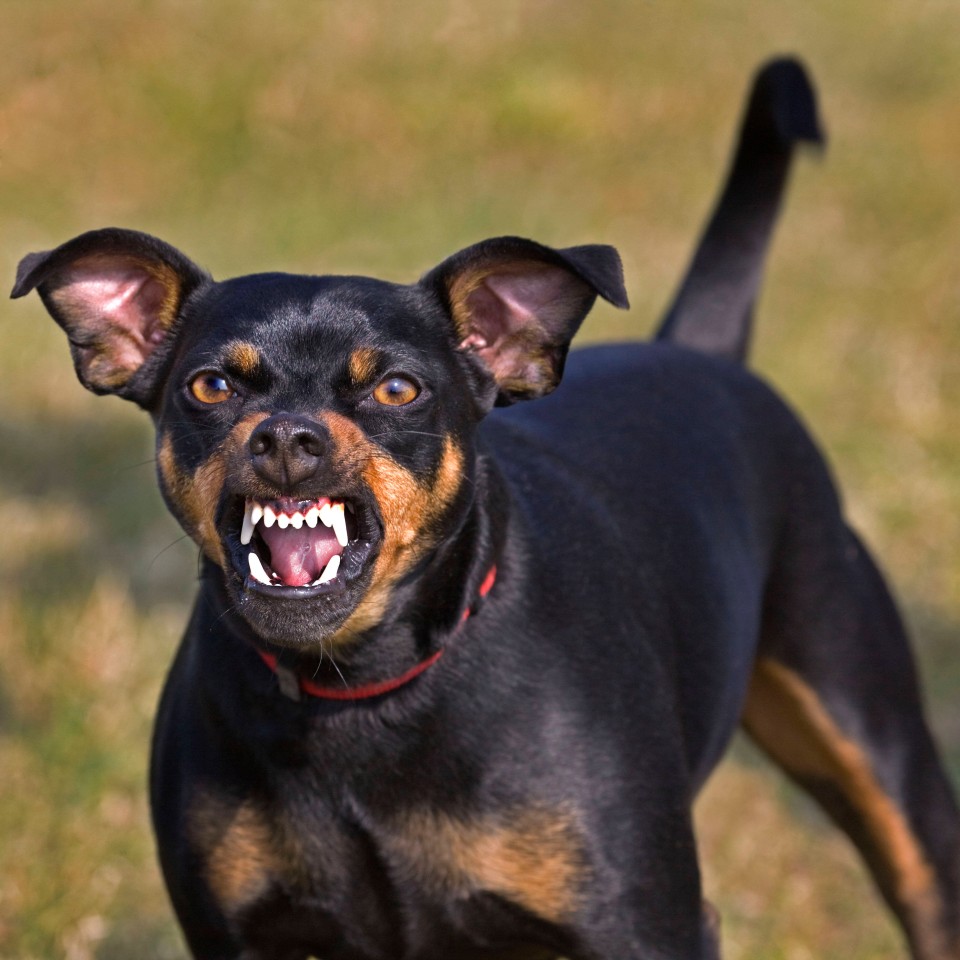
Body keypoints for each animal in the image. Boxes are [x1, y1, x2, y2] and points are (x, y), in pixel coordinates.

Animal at [13, 60, 960, 960]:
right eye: (210, 386)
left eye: (397, 388)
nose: (285, 438)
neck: (359, 689)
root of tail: (700, 353)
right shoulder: (236, 934)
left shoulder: (647, 924)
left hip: (876, 745)